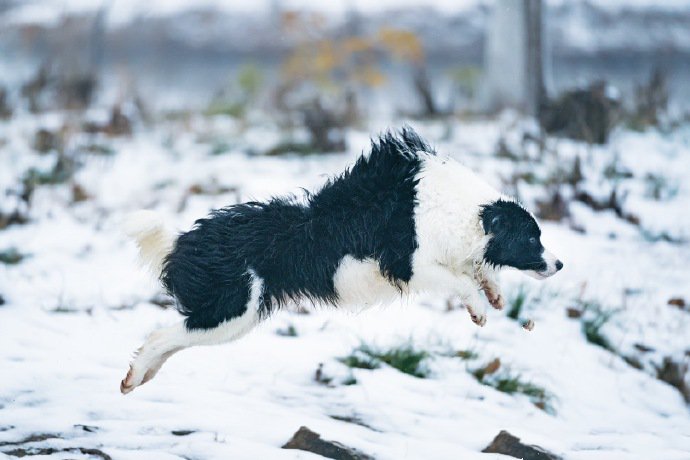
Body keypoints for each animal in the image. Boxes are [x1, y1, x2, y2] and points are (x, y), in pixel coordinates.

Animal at [119, 127, 560, 394]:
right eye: (532, 237)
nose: (559, 265)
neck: (466, 210)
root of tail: (184, 241)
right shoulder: (409, 264)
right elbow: (460, 279)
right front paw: (481, 309)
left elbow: (476, 270)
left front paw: (495, 294)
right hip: (231, 312)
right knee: (159, 336)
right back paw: (133, 377)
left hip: (231, 319)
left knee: (171, 340)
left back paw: (140, 377)